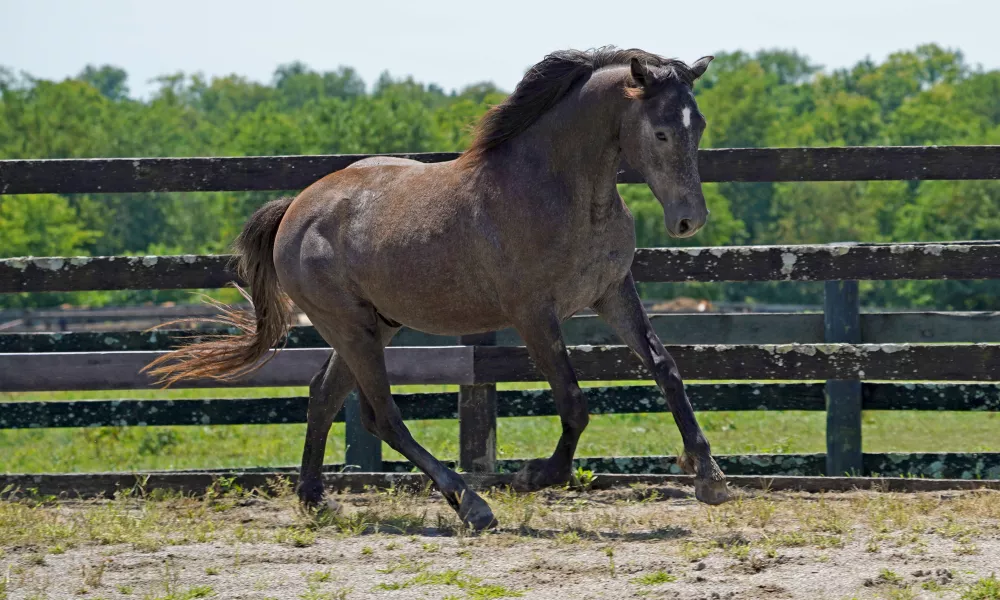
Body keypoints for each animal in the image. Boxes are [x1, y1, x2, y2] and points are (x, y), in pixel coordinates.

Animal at [146, 47, 728, 528]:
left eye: (697, 124)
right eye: (660, 132)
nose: (689, 221)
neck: (562, 191)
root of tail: (296, 208)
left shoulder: (613, 293)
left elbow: (666, 370)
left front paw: (709, 477)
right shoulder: (534, 315)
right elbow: (573, 401)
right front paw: (533, 477)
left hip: (374, 325)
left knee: (324, 397)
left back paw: (315, 499)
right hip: (351, 327)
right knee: (381, 415)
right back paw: (470, 502)